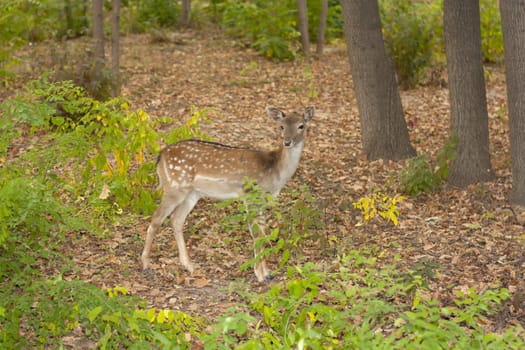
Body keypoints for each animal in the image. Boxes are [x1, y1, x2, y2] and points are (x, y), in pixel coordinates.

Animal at [139, 104, 314, 282]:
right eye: (281, 126)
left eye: (301, 126)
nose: (287, 142)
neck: (275, 171)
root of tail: (160, 157)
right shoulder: (249, 193)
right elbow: (256, 233)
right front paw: (260, 275)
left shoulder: (261, 200)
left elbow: (263, 232)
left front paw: (267, 272)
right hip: (174, 186)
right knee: (157, 218)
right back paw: (146, 263)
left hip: (192, 193)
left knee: (176, 220)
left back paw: (188, 265)